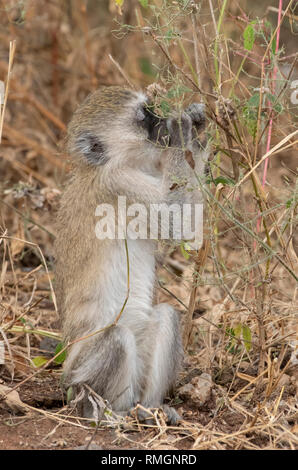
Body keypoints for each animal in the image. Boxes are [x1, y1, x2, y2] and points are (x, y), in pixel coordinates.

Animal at [56, 85, 208, 422]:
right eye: (144, 117)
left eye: (150, 108)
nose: (162, 121)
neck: (112, 165)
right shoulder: (121, 185)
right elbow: (178, 226)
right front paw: (183, 132)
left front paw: (197, 129)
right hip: (80, 376)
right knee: (116, 339)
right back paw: (112, 414)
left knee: (166, 317)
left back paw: (151, 409)